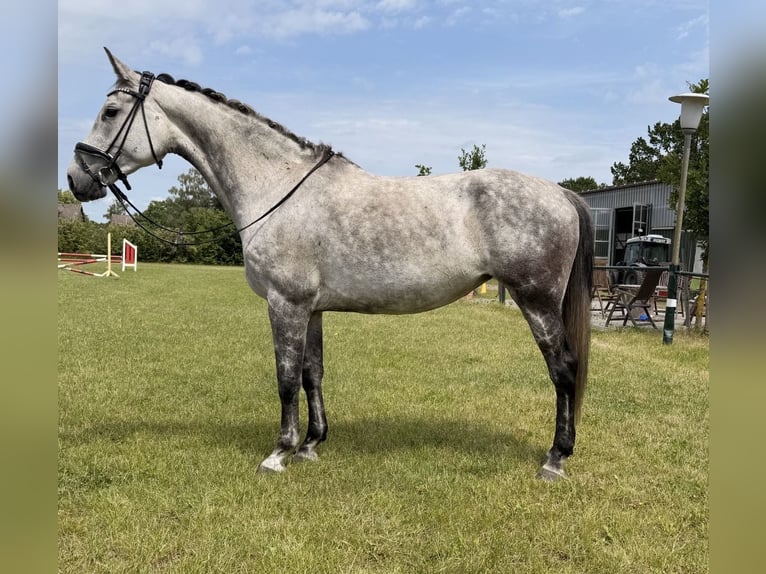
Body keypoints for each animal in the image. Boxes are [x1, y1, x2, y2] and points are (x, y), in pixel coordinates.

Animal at [67, 48, 593, 480]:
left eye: (110, 112)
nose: (77, 178)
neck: (276, 187)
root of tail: (561, 192)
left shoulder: (285, 304)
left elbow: (285, 378)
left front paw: (279, 453)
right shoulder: (312, 308)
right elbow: (311, 374)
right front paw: (311, 445)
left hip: (537, 301)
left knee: (564, 369)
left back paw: (555, 459)